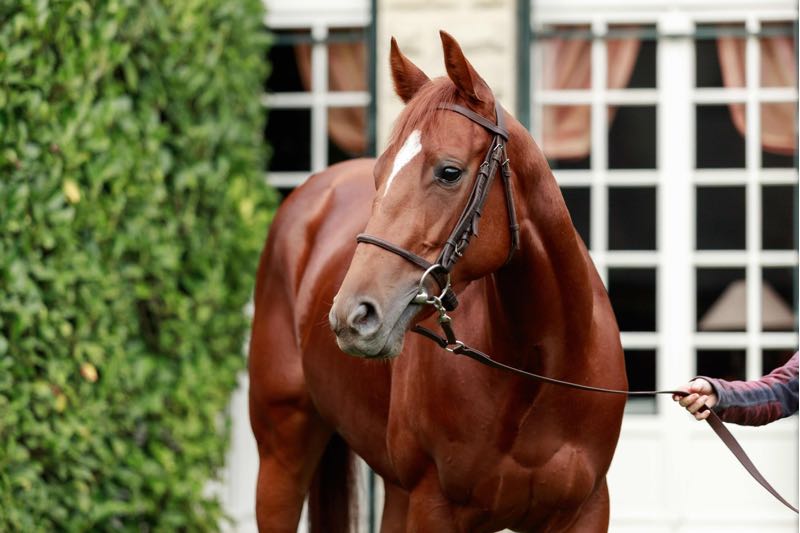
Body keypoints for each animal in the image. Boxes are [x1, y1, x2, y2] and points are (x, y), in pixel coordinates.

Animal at [248, 31, 627, 532]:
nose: (352, 315)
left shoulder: (586, 510)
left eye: (449, 171)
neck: (541, 370)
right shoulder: (433, 506)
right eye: (379, 174)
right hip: (281, 459)